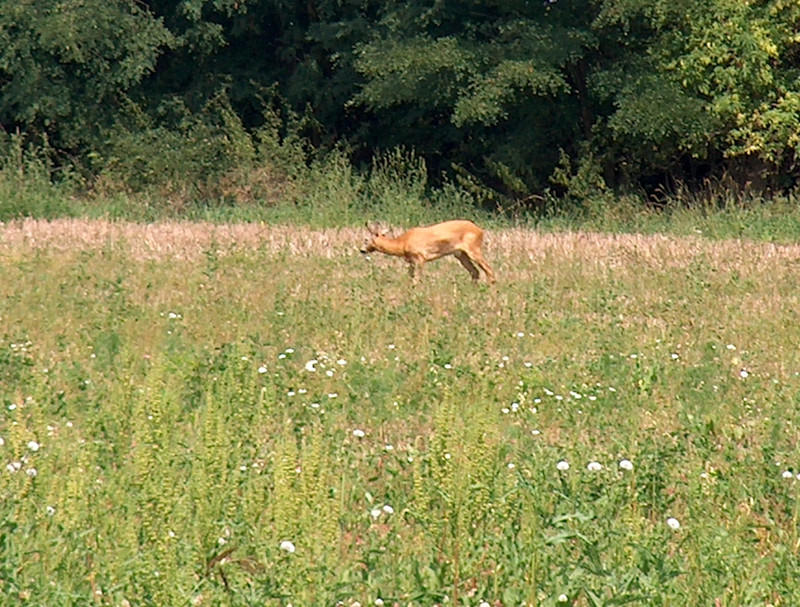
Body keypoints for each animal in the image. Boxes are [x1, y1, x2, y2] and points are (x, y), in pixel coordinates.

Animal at [360, 220, 494, 284]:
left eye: (366, 239)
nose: (361, 250)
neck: (403, 243)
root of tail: (480, 231)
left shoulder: (421, 257)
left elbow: (416, 279)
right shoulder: (412, 261)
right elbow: (410, 277)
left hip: (474, 248)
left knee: (489, 270)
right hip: (461, 254)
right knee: (475, 272)